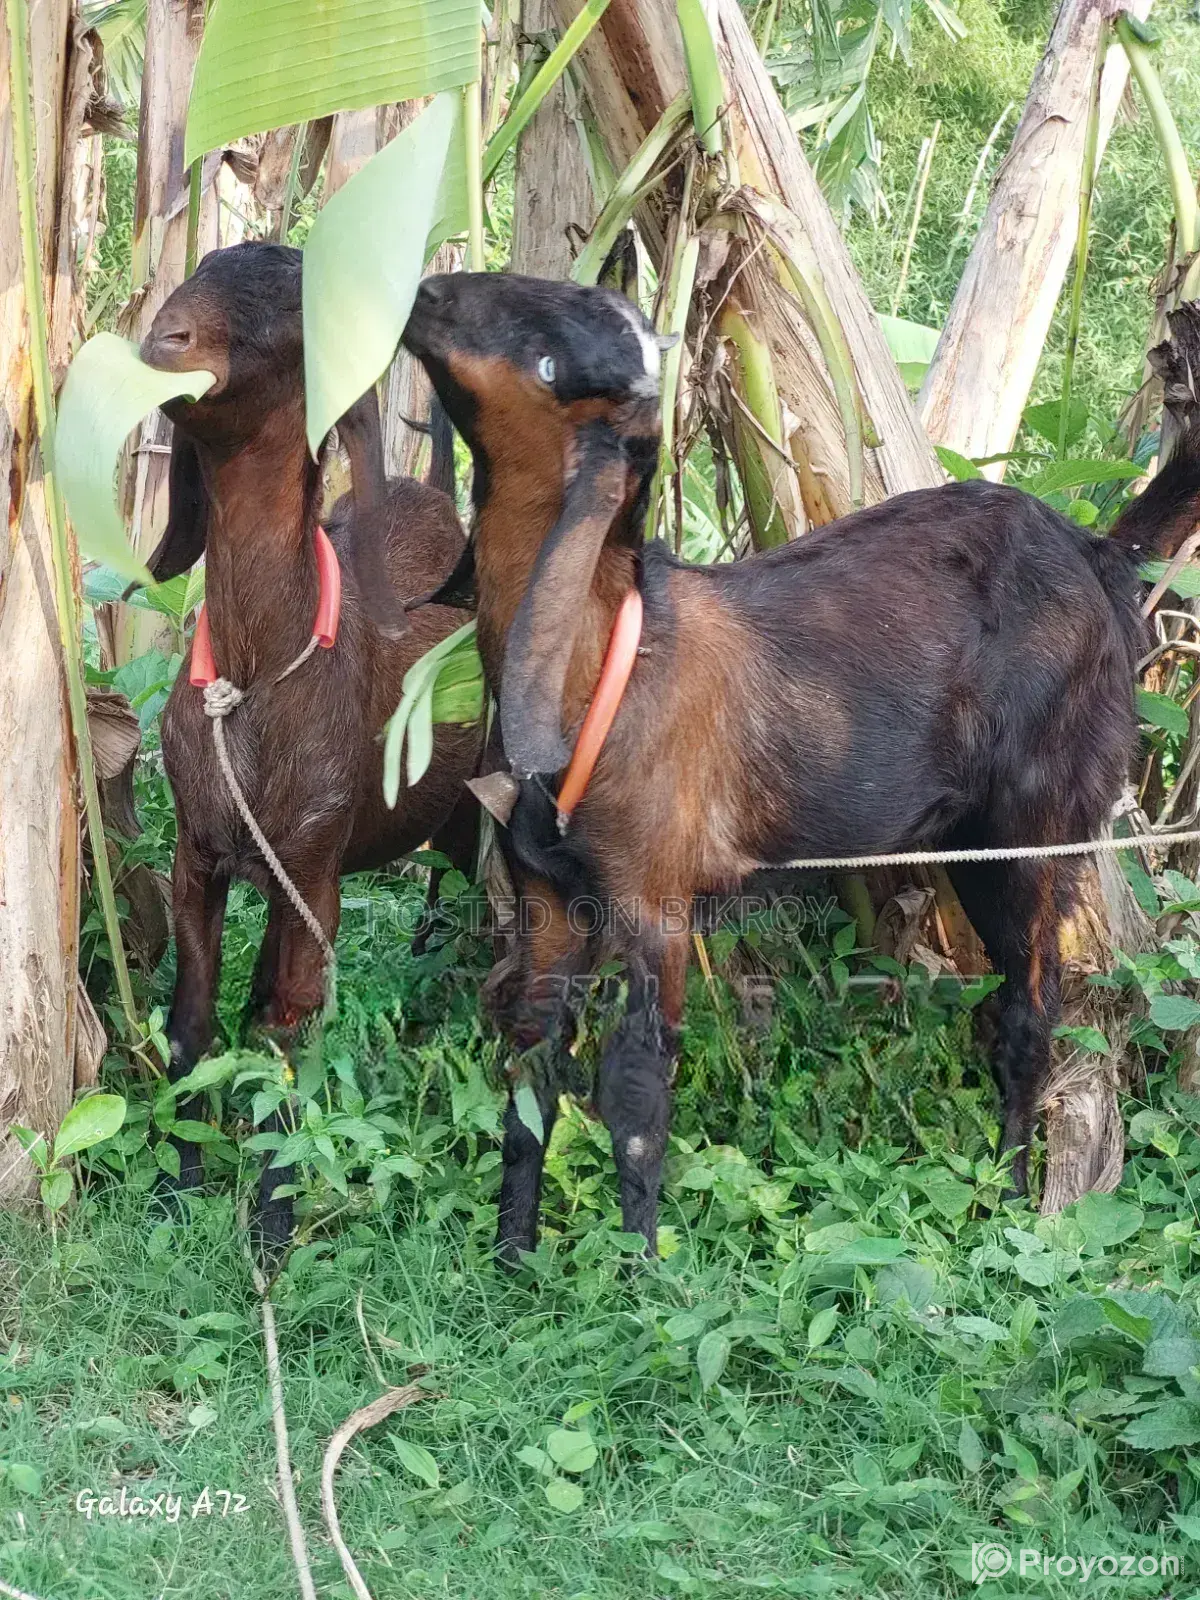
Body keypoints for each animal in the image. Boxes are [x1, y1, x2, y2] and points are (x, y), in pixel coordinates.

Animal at [140, 242, 481, 1247]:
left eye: (298, 309)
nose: (164, 338)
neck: (255, 674)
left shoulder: (317, 869)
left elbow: (285, 1043)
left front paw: (271, 1224)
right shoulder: (198, 852)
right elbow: (194, 1020)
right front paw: (177, 1186)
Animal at [385, 270, 1200, 1260]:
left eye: (543, 345)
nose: (422, 290)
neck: (600, 658)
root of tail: (1098, 555)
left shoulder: (655, 891)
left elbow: (635, 1090)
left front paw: (640, 1275)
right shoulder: (546, 896)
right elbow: (533, 1068)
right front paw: (512, 1259)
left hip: (1037, 822)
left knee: (1034, 1007)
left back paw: (1011, 1200)